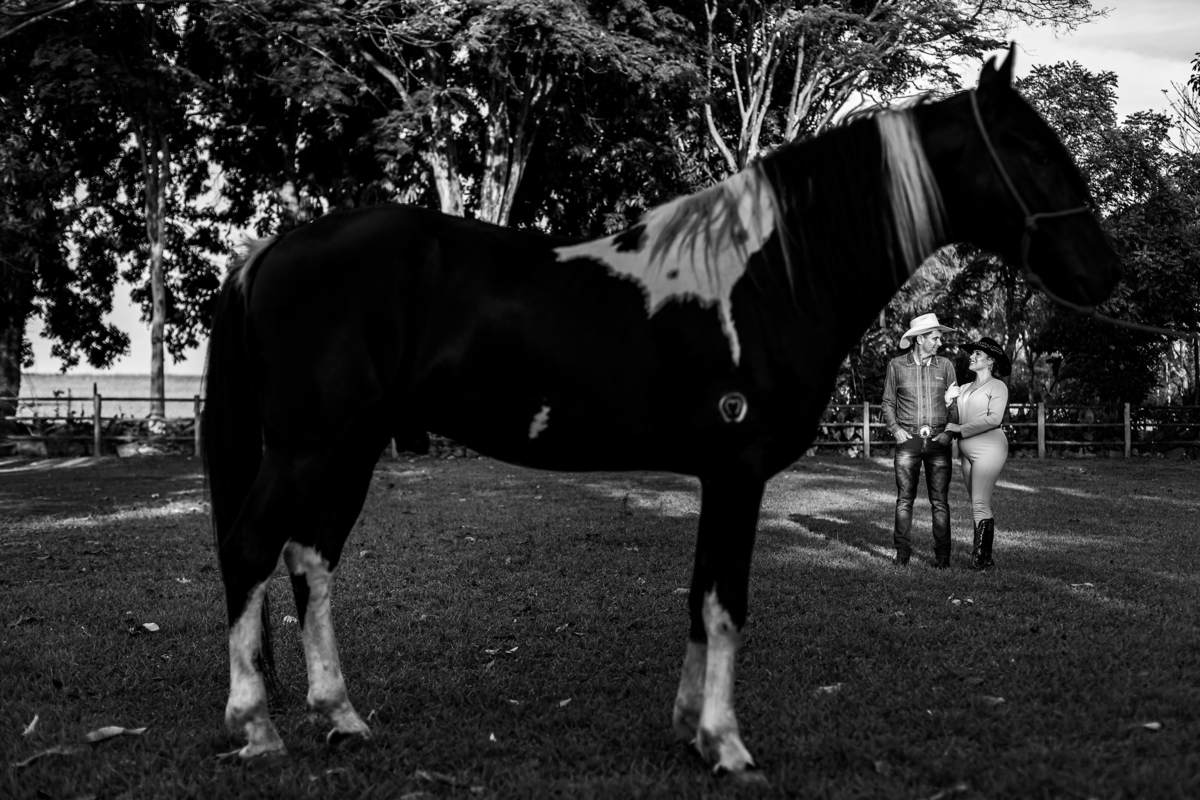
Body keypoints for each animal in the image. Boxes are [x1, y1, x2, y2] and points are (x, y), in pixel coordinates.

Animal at [202, 46, 1120, 775]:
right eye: (1030, 146)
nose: (1103, 272)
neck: (770, 278)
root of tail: (271, 249)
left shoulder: (720, 474)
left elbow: (700, 597)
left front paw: (690, 731)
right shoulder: (739, 471)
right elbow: (725, 601)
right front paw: (727, 745)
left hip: (348, 450)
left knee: (311, 562)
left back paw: (341, 719)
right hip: (308, 447)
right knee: (252, 548)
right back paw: (255, 728)